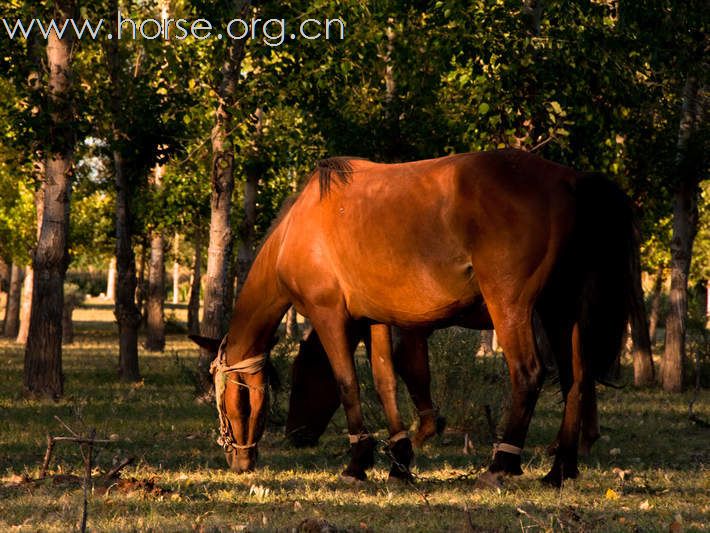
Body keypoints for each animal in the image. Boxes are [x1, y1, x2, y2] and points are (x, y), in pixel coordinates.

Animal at [204, 150, 636, 486]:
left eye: (228, 400)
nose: (238, 460)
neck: (299, 228)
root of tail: (571, 180)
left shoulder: (330, 318)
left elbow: (348, 384)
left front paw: (357, 463)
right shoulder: (376, 320)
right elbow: (385, 383)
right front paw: (399, 463)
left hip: (512, 307)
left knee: (528, 373)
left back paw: (501, 464)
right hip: (560, 310)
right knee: (576, 380)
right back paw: (560, 469)